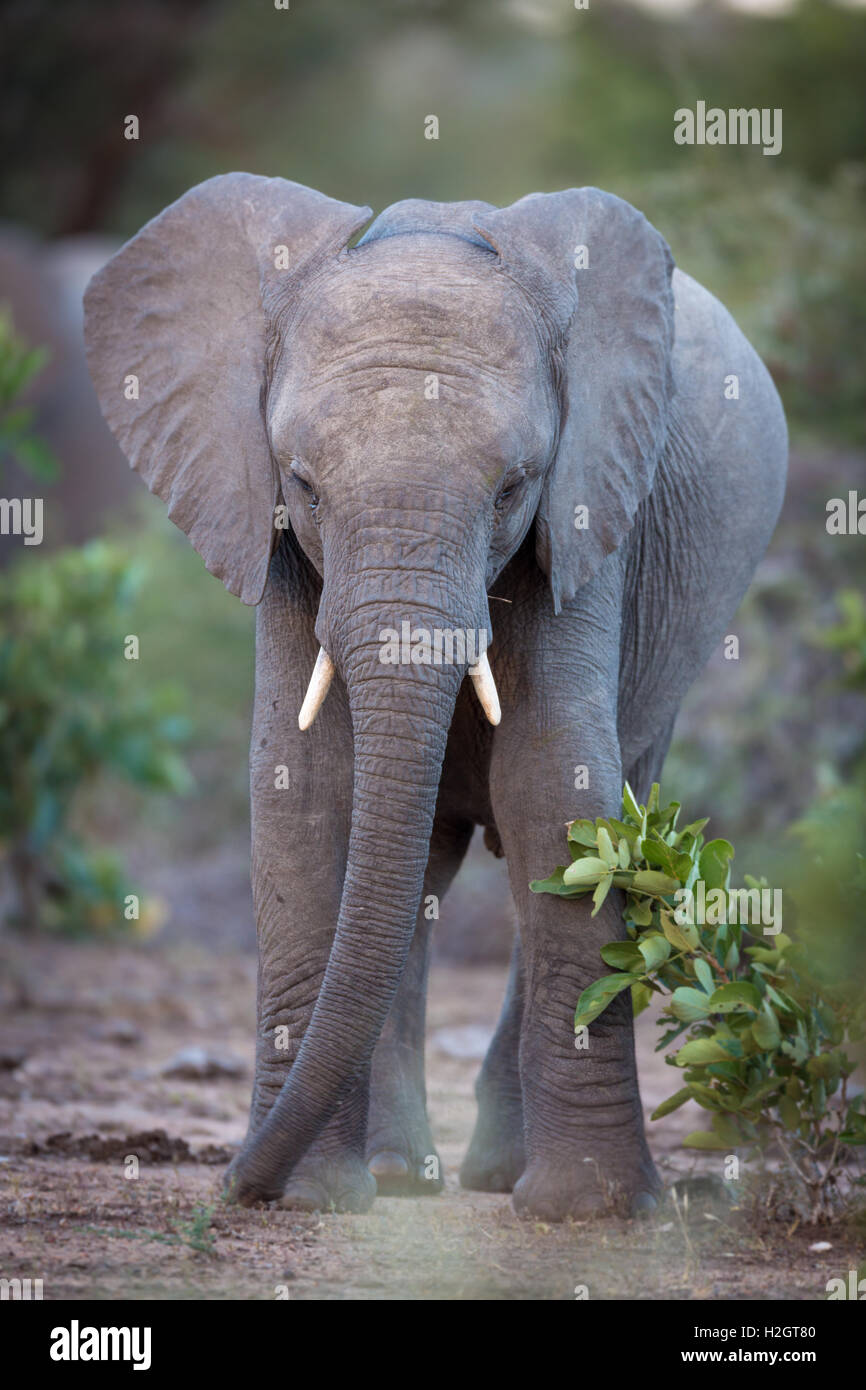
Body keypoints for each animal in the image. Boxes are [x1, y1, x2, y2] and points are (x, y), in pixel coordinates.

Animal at [84, 176, 789, 1228]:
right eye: (304, 484)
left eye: (513, 488)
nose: (231, 1186)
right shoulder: (275, 540)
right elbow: (305, 789)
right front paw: (315, 1200)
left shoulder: (590, 516)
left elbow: (556, 785)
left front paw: (592, 1215)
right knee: (414, 873)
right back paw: (398, 1178)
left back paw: (496, 1178)